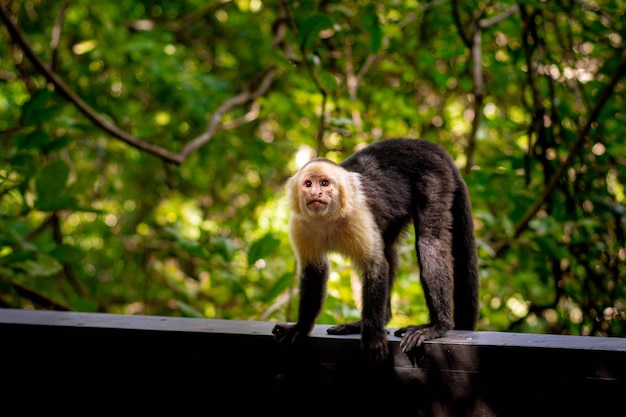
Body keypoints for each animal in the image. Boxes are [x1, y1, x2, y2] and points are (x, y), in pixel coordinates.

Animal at [272, 138, 478, 362]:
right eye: (308, 184)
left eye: (325, 183)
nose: (315, 193)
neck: (326, 219)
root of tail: (428, 146)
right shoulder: (300, 225)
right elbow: (314, 272)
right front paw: (300, 328)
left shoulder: (357, 215)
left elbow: (376, 266)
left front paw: (372, 337)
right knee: (388, 248)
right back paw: (372, 321)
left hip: (434, 178)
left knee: (429, 241)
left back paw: (437, 325)